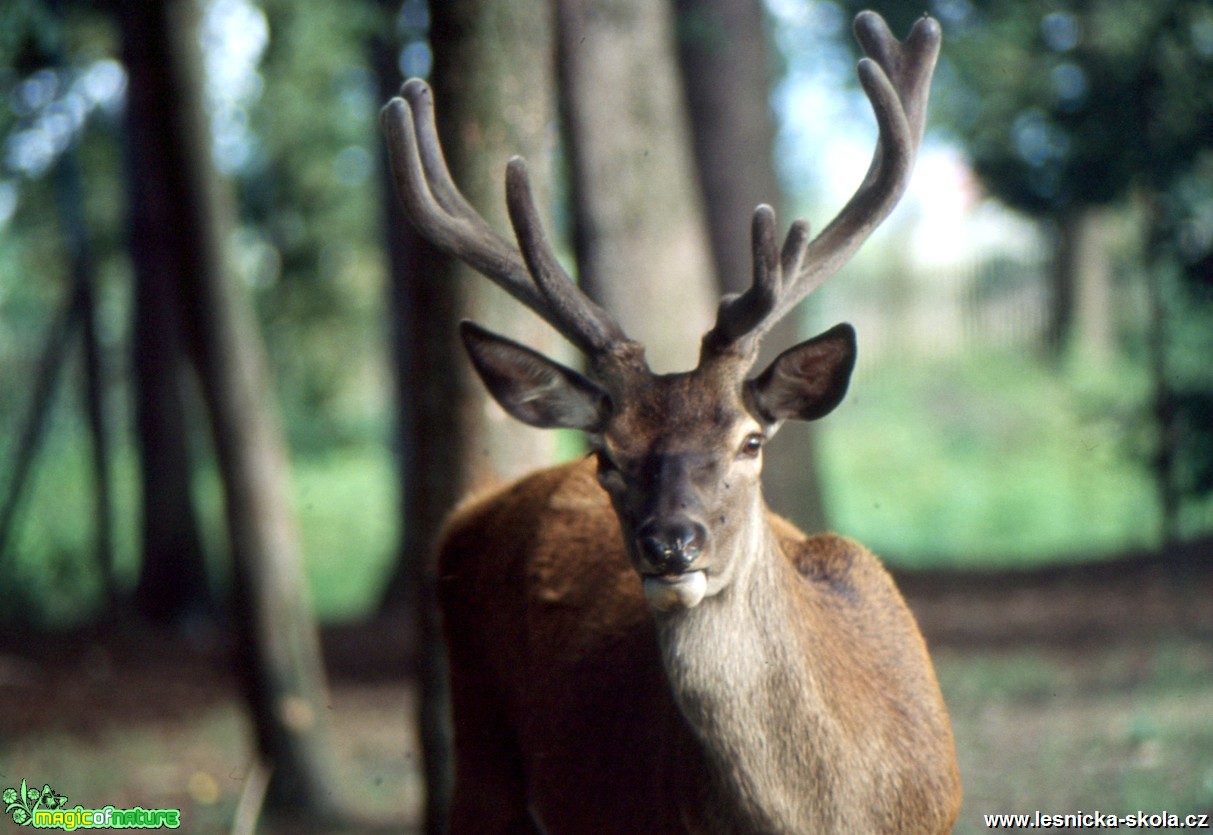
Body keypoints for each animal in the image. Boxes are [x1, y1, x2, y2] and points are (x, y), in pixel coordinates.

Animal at [383, 8, 960, 834]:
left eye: (749, 440)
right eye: (606, 456)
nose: (669, 542)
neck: (834, 808)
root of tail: (470, 508)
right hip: (481, 762)